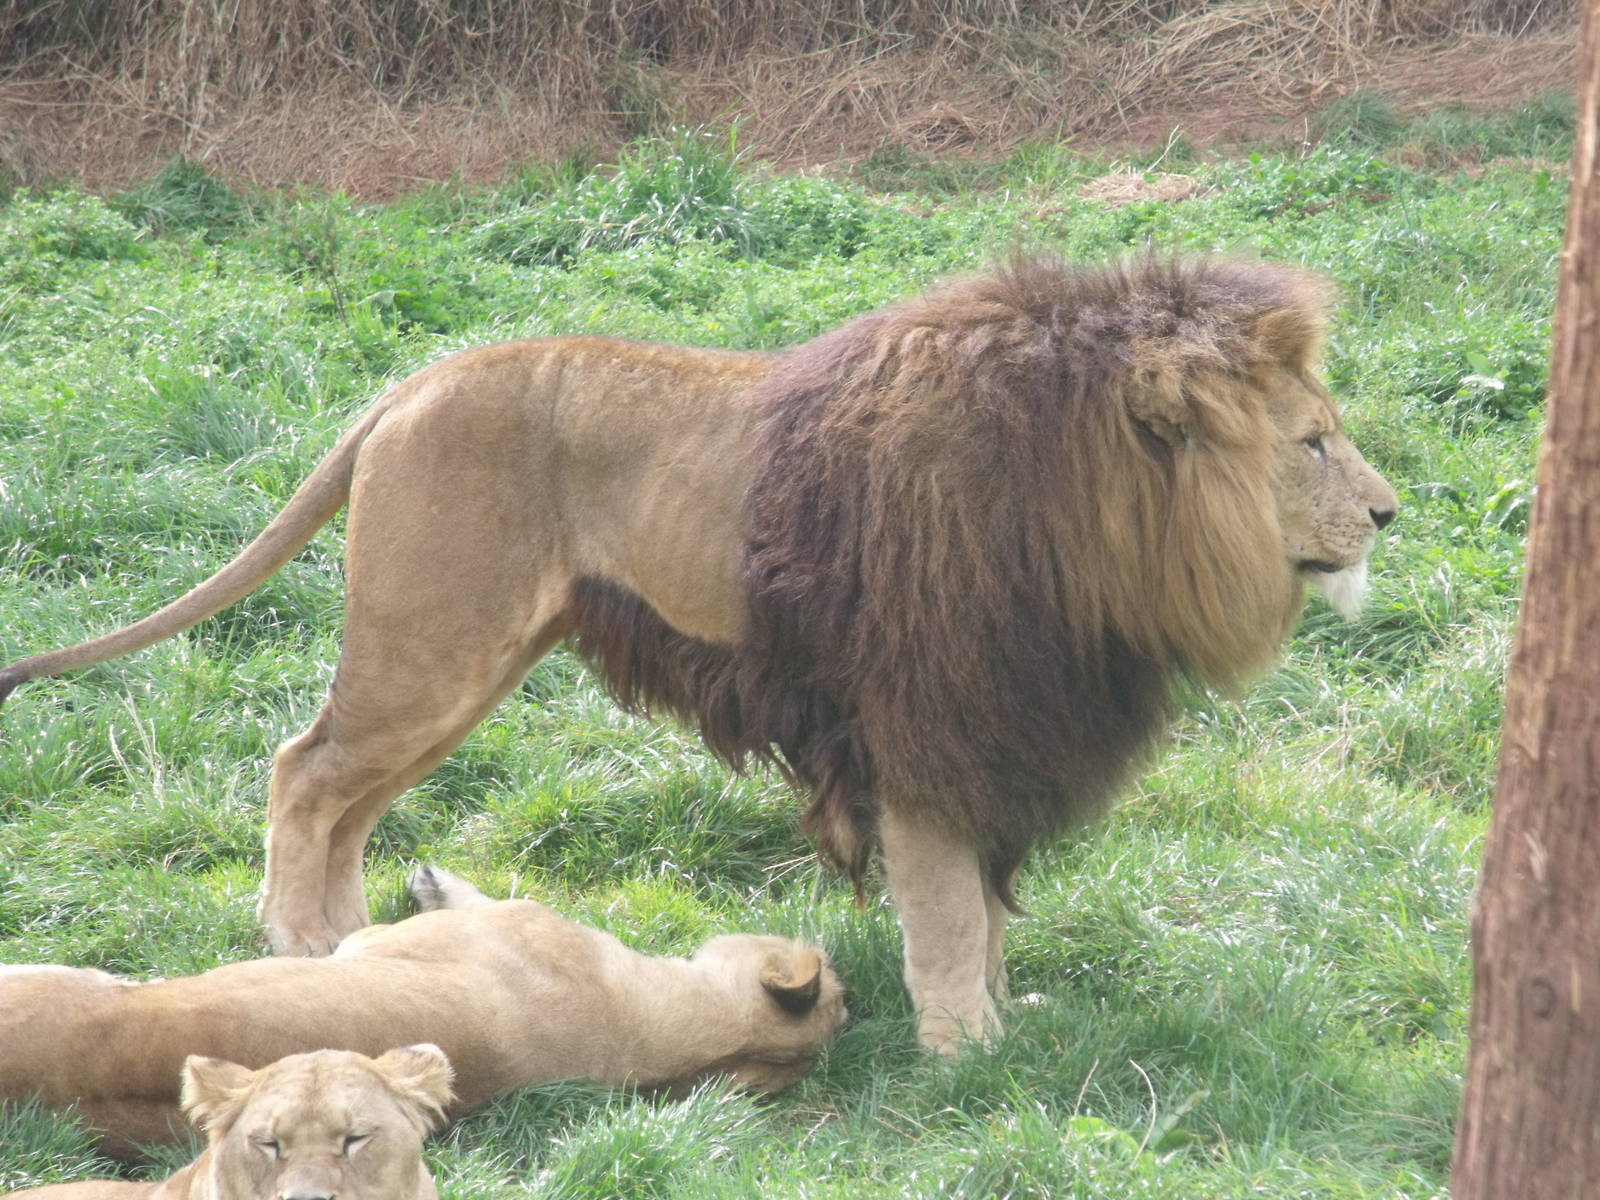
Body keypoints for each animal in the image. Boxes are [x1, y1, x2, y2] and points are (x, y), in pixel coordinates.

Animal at [0, 255, 1396, 1053]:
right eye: (1313, 445)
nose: (1388, 514)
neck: (1099, 532)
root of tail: (411, 384)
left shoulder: (1004, 737)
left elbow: (989, 909)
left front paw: (1010, 1018)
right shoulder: (925, 734)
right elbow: (948, 913)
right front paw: (967, 1050)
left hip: (465, 665)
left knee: (344, 792)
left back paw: (344, 947)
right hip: (430, 647)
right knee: (303, 771)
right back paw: (298, 947)